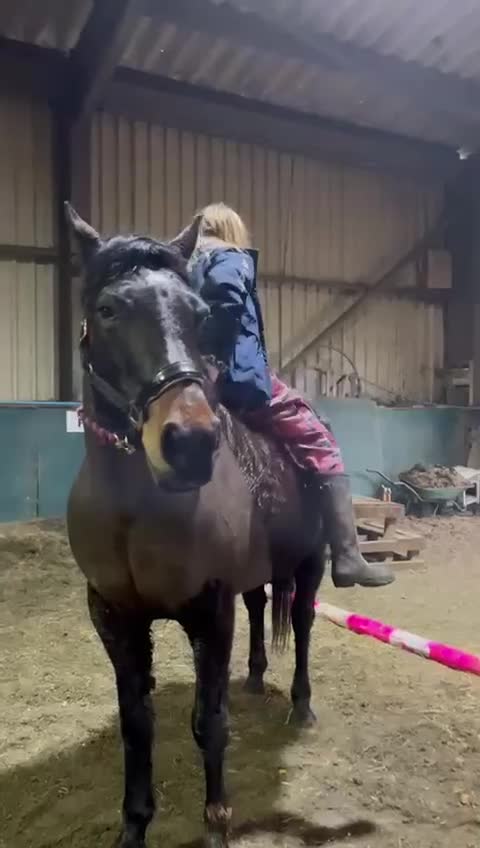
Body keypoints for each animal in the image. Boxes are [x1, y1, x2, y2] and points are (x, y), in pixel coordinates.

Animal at [65, 203, 326, 848]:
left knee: (303, 625)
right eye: (108, 310)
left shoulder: (209, 610)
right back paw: (255, 679)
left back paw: (300, 707)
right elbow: (137, 724)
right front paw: (134, 825)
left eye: (199, 313)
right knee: (261, 608)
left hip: (310, 567)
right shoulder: (113, 615)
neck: (136, 511)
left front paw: (217, 821)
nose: (189, 444)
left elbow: (209, 721)